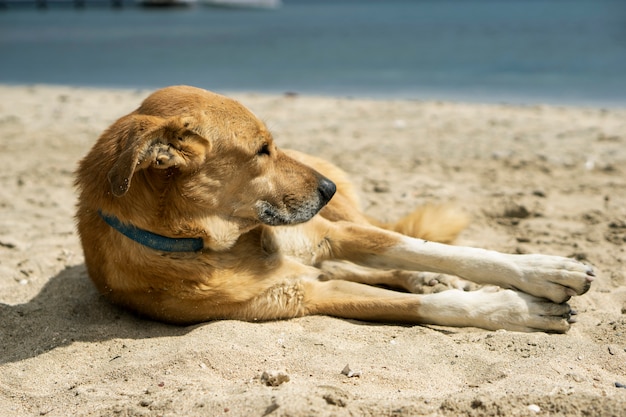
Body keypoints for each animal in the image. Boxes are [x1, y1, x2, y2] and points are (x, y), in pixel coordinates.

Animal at [75, 84, 592, 332]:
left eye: (273, 144)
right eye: (262, 150)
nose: (327, 189)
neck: (215, 242)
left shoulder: (327, 232)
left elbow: (436, 249)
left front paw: (544, 271)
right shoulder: (306, 296)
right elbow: (428, 306)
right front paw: (514, 308)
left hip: (343, 222)